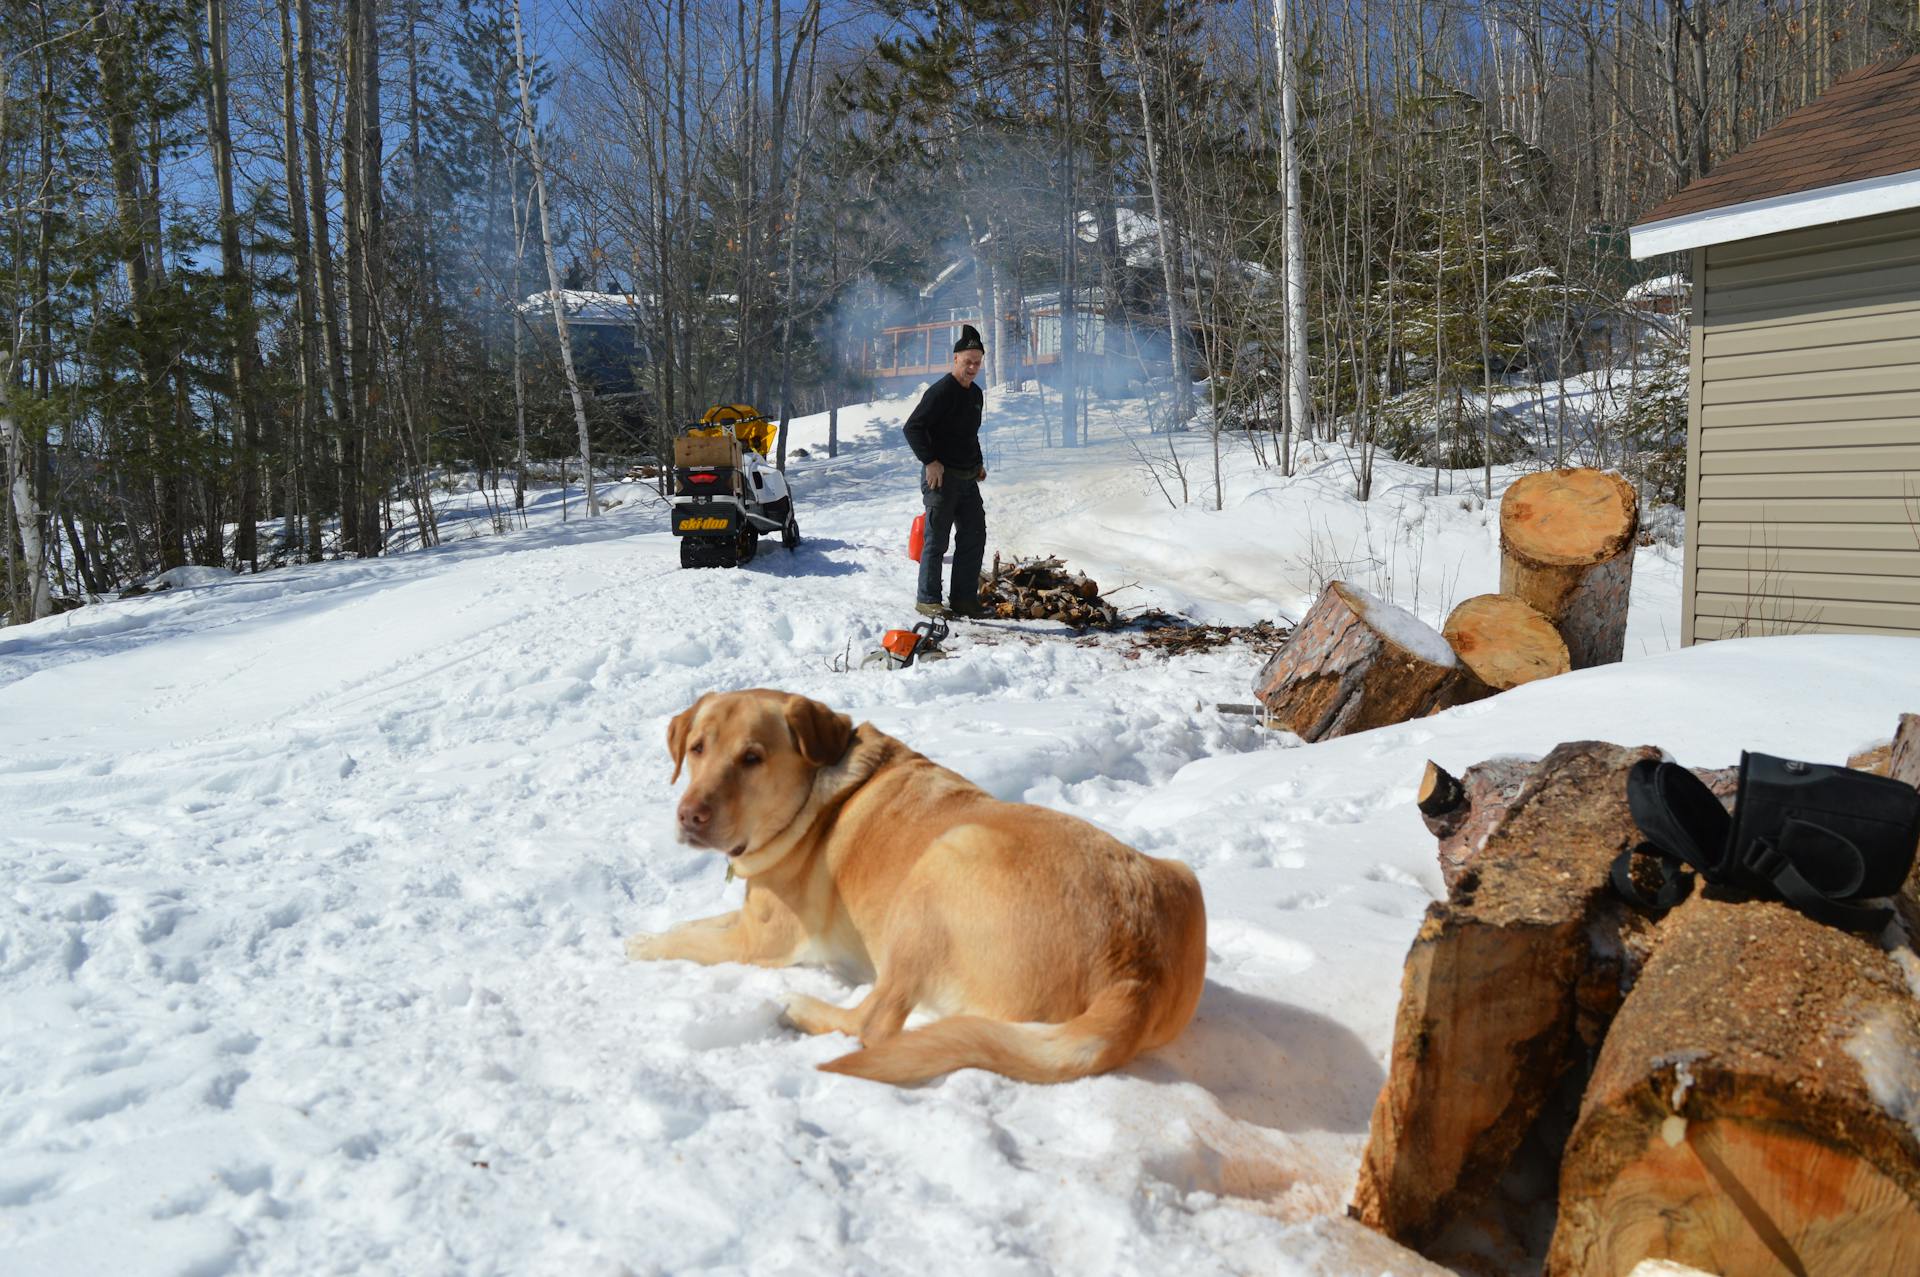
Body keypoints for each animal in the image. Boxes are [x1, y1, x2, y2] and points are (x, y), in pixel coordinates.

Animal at [622, 691, 1205, 1083]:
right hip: (1182, 875)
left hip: (941, 863)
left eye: (752, 758)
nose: (689, 816)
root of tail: (1135, 972)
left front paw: (641, 944)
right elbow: (695, 923)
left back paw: (802, 1008)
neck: (814, 799)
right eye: (697, 748)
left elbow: (689, 937)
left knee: (874, 1022)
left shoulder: (760, 938)